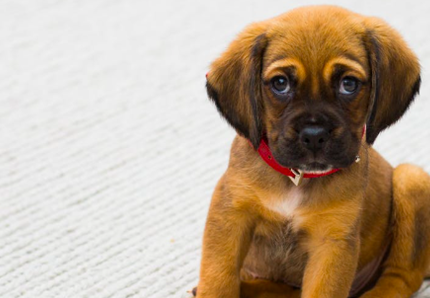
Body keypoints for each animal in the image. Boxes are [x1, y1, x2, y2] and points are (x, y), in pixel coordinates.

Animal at [194, 4, 430, 298]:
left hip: (411, 179)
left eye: (348, 84)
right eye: (280, 83)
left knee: (402, 276)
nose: (315, 136)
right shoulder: (230, 216)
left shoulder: (331, 243)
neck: (297, 179)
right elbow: (219, 279)